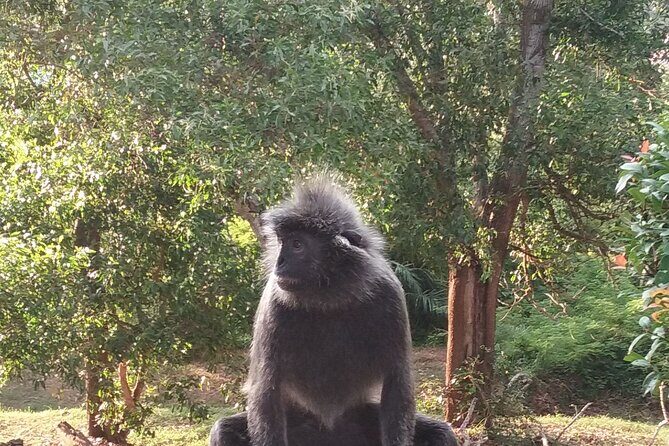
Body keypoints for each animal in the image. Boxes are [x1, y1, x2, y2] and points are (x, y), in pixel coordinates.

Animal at [210, 176, 458, 446]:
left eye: (298, 245)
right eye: (282, 242)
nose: (279, 263)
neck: (330, 298)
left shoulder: (390, 294)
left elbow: (396, 383)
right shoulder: (274, 301)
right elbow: (267, 390)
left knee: (442, 432)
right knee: (222, 430)